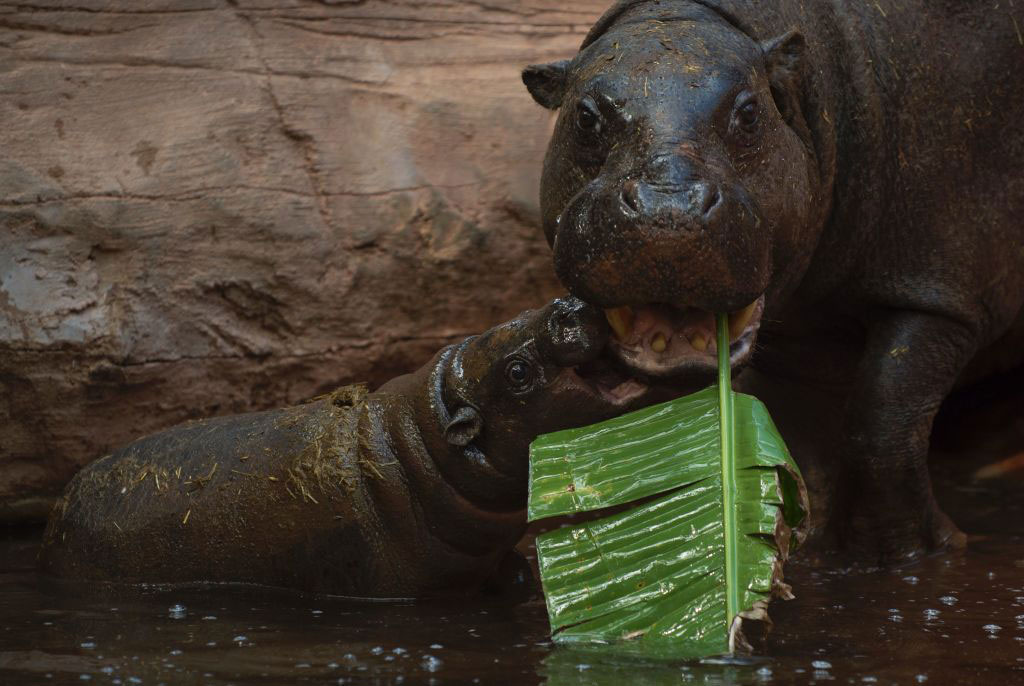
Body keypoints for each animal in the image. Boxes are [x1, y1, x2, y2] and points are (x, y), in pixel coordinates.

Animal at [522, 0, 1024, 563]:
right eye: (584, 117)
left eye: (749, 113)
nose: (667, 208)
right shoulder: (804, 342)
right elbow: (796, 446)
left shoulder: (940, 294)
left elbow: (881, 421)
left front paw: (920, 553)